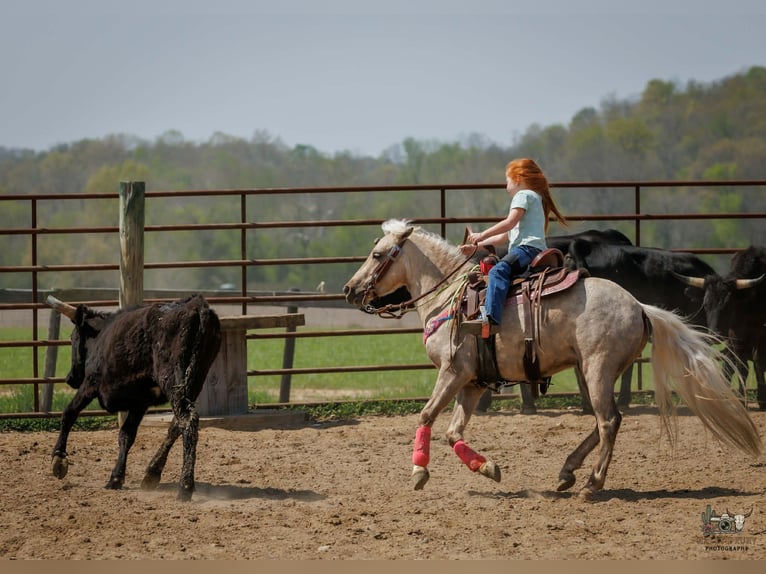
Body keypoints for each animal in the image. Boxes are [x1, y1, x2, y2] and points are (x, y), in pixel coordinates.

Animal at [343, 220, 762, 499]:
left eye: (377, 255)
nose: (349, 289)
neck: (450, 298)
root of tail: (639, 307)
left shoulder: (452, 372)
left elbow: (427, 416)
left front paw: (418, 471)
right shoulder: (473, 382)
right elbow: (453, 432)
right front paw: (488, 468)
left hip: (597, 369)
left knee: (609, 421)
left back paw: (592, 484)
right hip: (594, 372)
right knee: (602, 421)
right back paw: (567, 472)